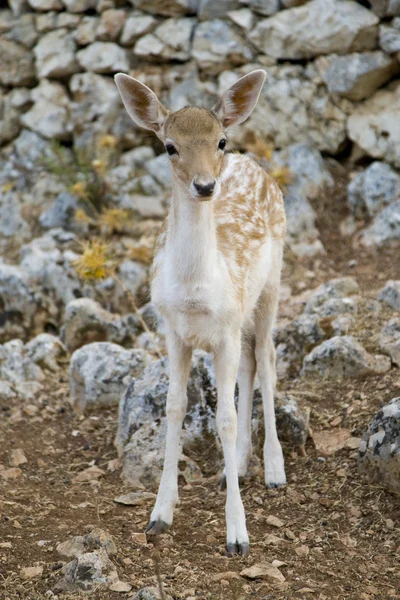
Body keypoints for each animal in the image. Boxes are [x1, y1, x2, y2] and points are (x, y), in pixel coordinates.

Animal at [114, 69, 286, 552]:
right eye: (170, 146)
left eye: (220, 140)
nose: (206, 185)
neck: (194, 291)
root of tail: (254, 164)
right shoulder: (173, 330)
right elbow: (174, 406)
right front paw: (159, 514)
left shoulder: (224, 327)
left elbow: (223, 419)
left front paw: (237, 535)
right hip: (239, 316)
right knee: (249, 363)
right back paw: (240, 466)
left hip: (272, 284)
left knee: (266, 358)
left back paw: (273, 469)